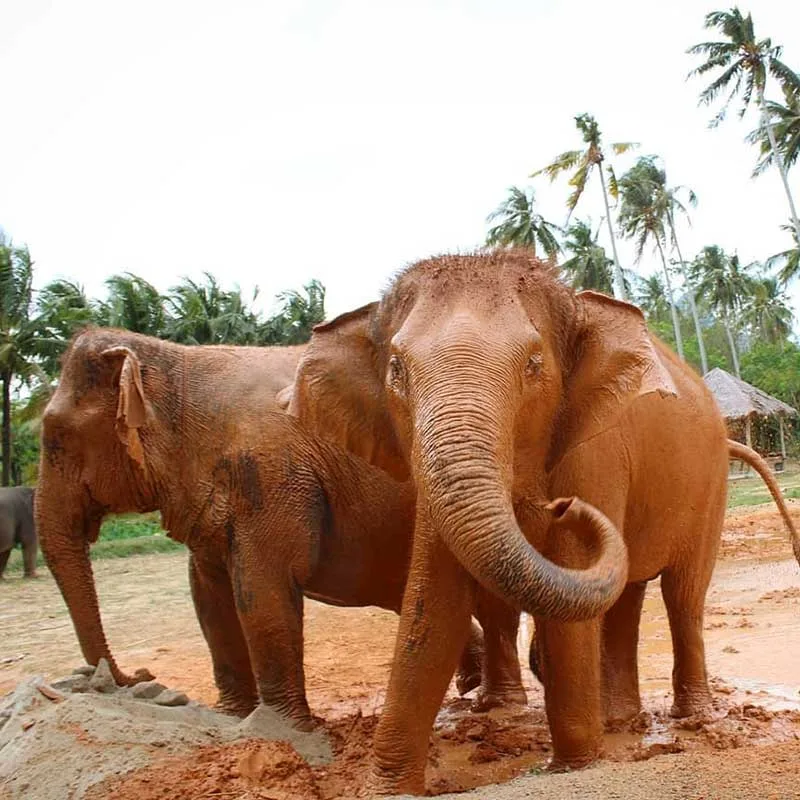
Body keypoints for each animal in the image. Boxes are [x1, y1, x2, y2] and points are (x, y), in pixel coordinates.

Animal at [35, 327, 504, 717]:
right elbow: (209, 599)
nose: (144, 676)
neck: (175, 364)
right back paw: (471, 689)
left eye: (56, 437)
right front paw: (233, 717)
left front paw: (285, 728)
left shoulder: (272, 476)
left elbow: (262, 591)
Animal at [280, 248, 800, 795]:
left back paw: (692, 719)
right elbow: (436, 597)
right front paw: (389, 788)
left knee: (683, 594)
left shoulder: (595, 450)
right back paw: (620, 721)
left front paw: (575, 764)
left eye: (533, 365)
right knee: (627, 595)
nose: (562, 506)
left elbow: (570, 565)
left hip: (711, 484)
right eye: (396, 370)